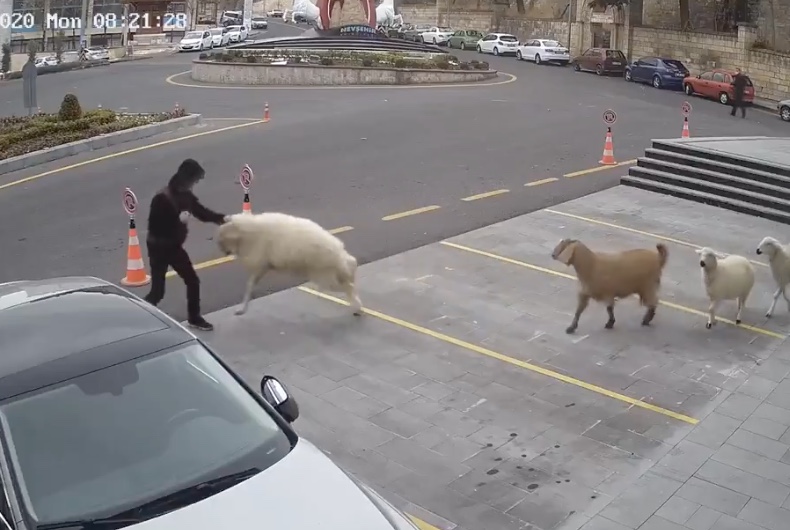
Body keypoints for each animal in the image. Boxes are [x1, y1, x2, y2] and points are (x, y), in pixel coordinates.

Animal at [217, 212, 366, 316]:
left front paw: (242, 308)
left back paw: (357, 306)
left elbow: (249, 285)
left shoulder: (259, 263)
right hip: (330, 271)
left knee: (348, 284)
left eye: (221, 241)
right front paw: (243, 308)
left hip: (325, 276)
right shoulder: (262, 266)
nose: (224, 252)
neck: (245, 232)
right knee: (351, 264)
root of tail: (336, 251)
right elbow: (250, 284)